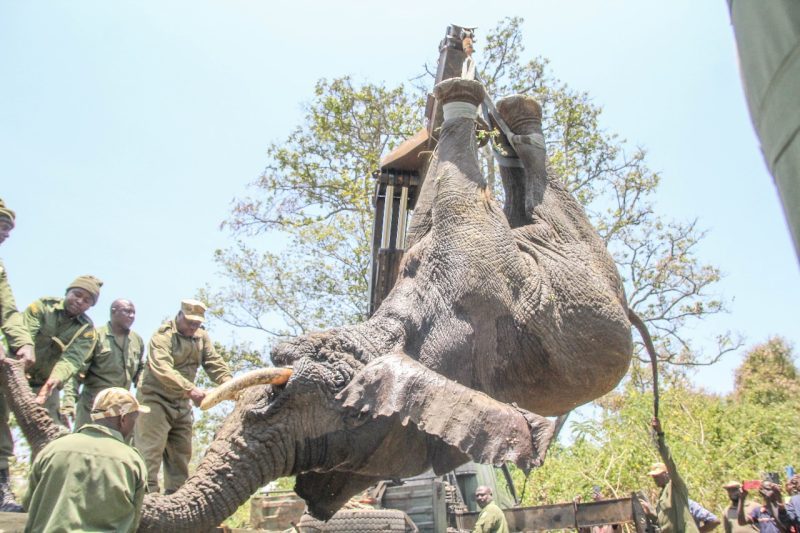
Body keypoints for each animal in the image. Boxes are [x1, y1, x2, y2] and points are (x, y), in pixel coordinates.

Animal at [0, 78, 633, 532]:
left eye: (350, 415)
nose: (15, 358)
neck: (400, 333)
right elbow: (433, 195)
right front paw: (457, 93)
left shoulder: (475, 260)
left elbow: (453, 187)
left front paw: (458, 92)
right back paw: (515, 117)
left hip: (581, 254)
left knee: (547, 197)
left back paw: (518, 116)